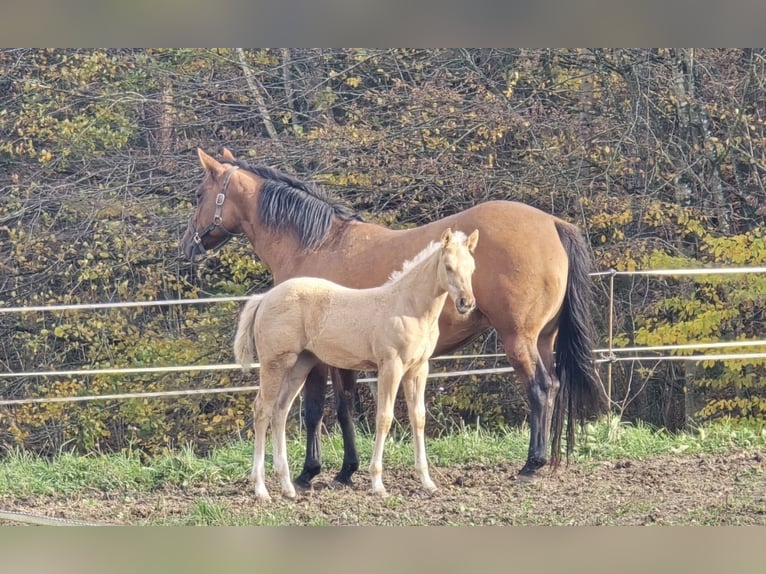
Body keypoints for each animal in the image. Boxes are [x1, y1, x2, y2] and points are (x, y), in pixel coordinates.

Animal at [233, 228, 479, 500]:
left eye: (472, 267)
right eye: (448, 267)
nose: (466, 303)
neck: (409, 307)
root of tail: (264, 297)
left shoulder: (418, 369)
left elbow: (418, 417)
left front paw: (427, 481)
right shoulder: (390, 367)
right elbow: (384, 417)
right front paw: (378, 483)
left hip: (299, 365)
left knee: (280, 412)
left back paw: (287, 487)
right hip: (274, 363)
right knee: (262, 410)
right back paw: (261, 489)